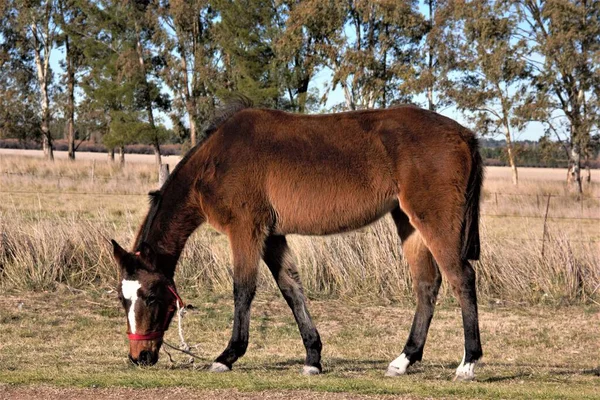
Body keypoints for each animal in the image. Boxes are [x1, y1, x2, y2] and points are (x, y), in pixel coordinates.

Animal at [112, 97, 486, 382]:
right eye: (123, 299)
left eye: (152, 297)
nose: (139, 356)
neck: (216, 161)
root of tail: (465, 134)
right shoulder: (273, 235)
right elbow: (291, 288)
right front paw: (313, 358)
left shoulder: (246, 230)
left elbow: (243, 289)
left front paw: (227, 356)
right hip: (408, 222)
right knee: (427, 284)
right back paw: (404, 360)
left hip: (434, 220)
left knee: (462, 278)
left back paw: (467, 364)